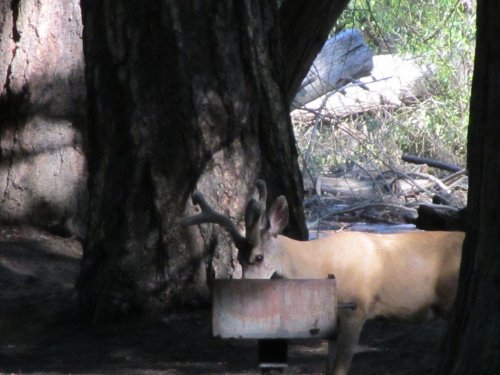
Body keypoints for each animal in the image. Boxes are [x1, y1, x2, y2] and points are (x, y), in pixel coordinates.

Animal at [183, 181, 464, 374]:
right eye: (240, 259)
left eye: (259, 257)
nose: (245, 289)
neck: (322, 265)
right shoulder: (331, 322)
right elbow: (328, 368)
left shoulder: (356, 308)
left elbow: (340, 368)